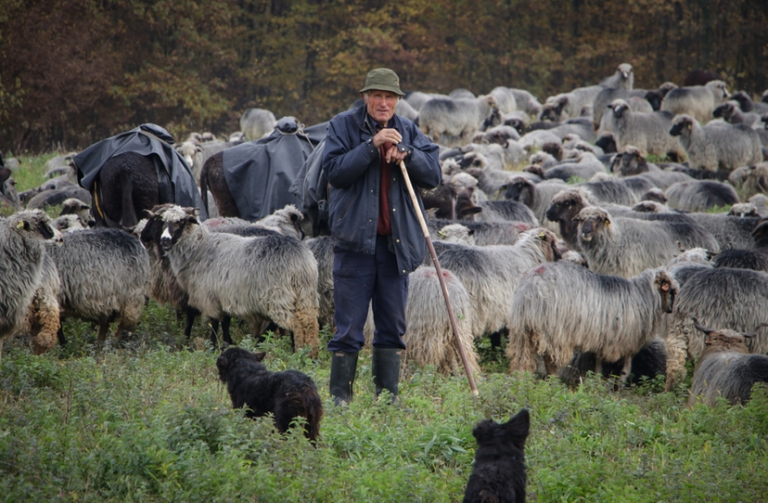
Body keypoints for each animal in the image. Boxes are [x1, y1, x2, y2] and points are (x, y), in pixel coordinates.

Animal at [158, 206, 320, 358]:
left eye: (180, 221)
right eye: (164, 222)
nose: (164, 240)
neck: (199, 248)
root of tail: (299, 258)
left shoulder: (209, 297)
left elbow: (214, 323)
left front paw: (212, 347)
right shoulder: (223, 296)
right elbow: (225, 322)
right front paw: (225, 345)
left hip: (278, 297)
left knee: (294, 325)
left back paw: (294, 351)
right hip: (305, 294)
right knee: (309, 324)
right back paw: (309, 353)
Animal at [508, 260, 676, 386]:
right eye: (672, 291)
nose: (671, 310)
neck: (642, 297)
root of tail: (533, 282)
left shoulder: (602, 340)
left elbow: (598, 366)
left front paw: (596, 382)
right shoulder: (625, 342)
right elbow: (624, 369)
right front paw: (618, 386)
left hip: (522, 330)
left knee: (521, 359)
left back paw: (520, 381)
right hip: (554, 331)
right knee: (550, 361)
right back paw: (553, 382)